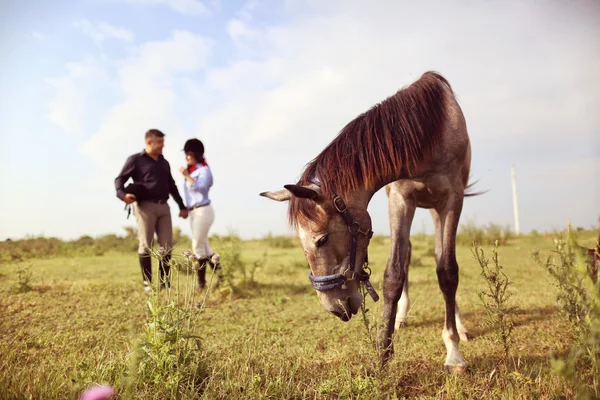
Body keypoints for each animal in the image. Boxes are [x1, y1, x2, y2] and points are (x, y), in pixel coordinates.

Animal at [262, 71, 482, 372]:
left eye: (322, 239)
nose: (334, 308)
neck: (429, 133)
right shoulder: (400, 199)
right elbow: (394, 274)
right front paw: (382, 354)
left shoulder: (451, 201)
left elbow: (447, 271)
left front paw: (454, 353)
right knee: (409, 255)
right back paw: (402, 317)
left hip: (438, 210)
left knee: (441, 259)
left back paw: (458, 326)